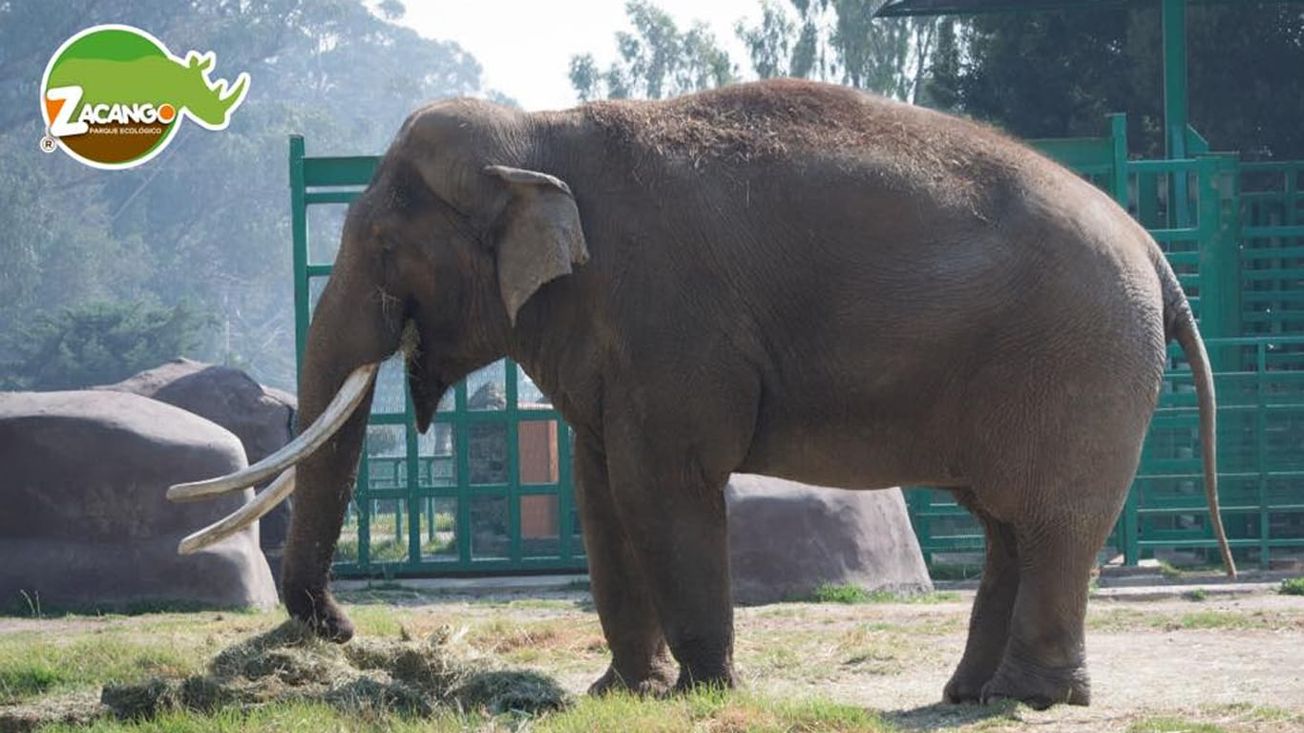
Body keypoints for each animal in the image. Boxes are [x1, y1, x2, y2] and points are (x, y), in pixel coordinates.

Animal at [171, 78, 1235, 709]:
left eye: (387, 246)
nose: (345, 627)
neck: (541, 131)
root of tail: (1153, 250)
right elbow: (601, 495)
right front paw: (619, 692)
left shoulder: (668, 317)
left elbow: (662, 483)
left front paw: (705, 690)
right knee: (1011, 523)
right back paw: (967, 694)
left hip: (1081, 362)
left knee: (1052, 523)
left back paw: (1031, 700)